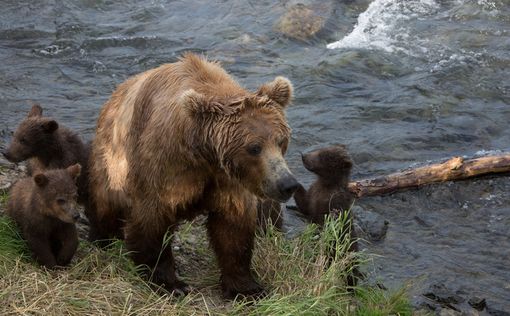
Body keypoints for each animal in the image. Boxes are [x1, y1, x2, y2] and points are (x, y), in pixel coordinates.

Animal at [88, 53, 298, 298]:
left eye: (281, 141)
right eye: (254, 148)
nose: (287, 183)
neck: (203, 153)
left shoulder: (227, 179)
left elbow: (233, 228)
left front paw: (247, 288)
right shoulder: (165, 165)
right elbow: (152, 220)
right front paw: (171, 283)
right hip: (111, 159)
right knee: (106, 203)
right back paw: (101, 237)